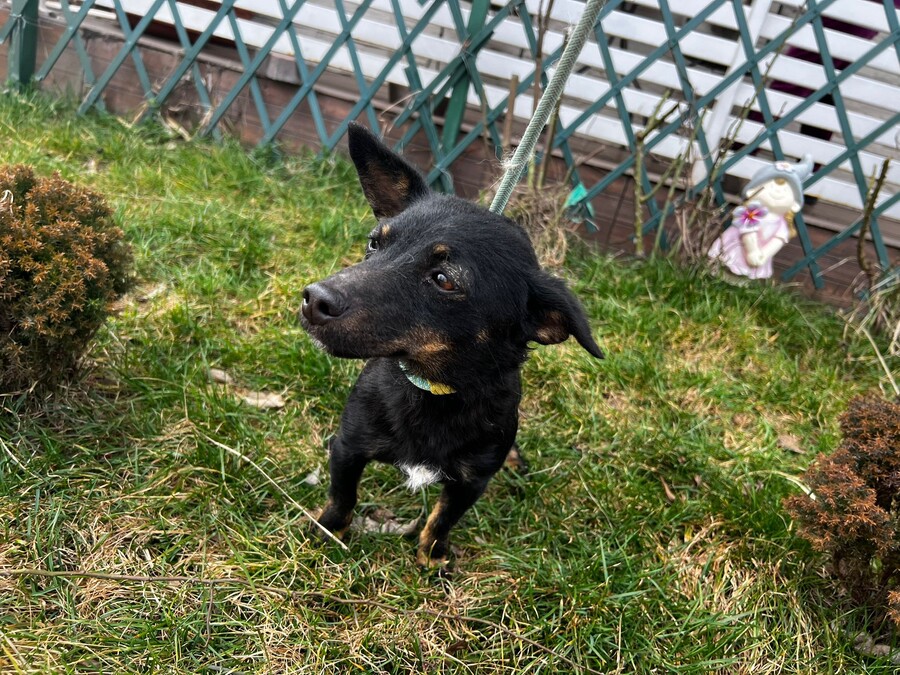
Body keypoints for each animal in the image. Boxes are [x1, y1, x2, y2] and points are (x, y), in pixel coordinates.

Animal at [300, 123, 603, 567]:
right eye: (375, 243)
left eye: (444, 280)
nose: (313, 299)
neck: (434, 391)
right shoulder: (347, 448)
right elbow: (343, 497)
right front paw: (328, 532)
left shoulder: (471, 481)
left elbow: (442, 517)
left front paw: (432, 556)